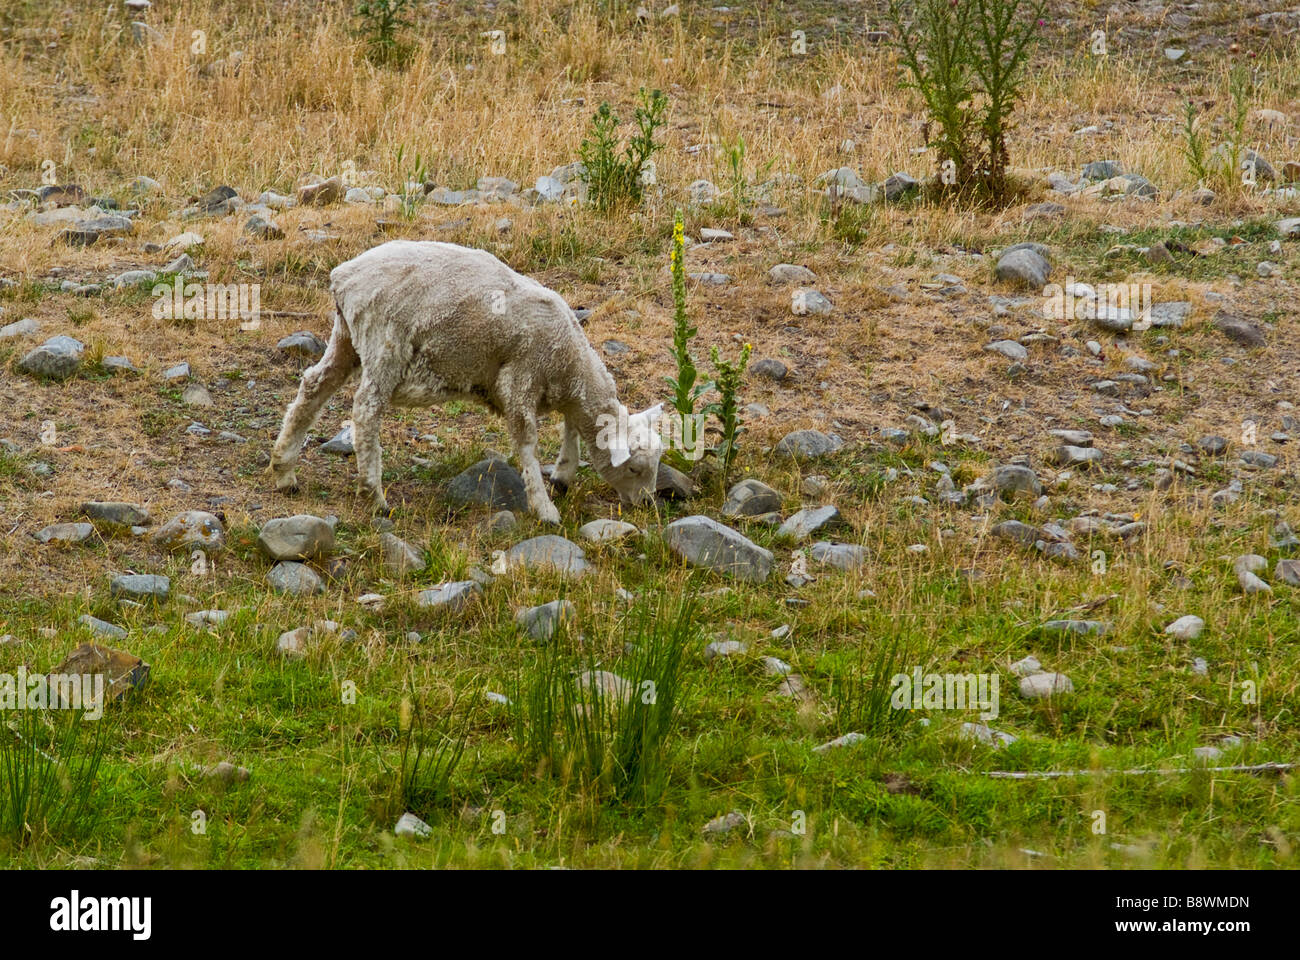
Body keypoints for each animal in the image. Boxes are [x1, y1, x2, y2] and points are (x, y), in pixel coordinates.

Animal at [270, 239, 665, 522]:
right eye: (634, 467)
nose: (648, 504)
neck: (568, 363)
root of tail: (344, 277)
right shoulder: (521, 378)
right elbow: (527, 442)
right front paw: (544, 507)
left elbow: (570, 427)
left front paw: (563, 474)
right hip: (385, 342)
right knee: (366, 411)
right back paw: (374, 495)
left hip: (346, 337)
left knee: (313, 386)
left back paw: (284, 469)